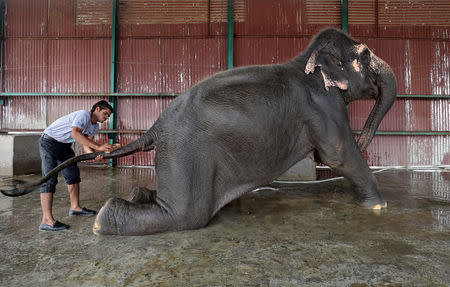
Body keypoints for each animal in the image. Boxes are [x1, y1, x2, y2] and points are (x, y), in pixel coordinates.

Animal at [0, 28, 396, 236]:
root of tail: (156, 126)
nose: (367, 137)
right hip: (186, 153)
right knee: (185, 215)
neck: (309, 61)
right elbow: (337, 153)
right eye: (366, 53)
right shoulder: (322, 106)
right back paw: (101, 222)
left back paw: (139, 194)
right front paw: (379, 207)